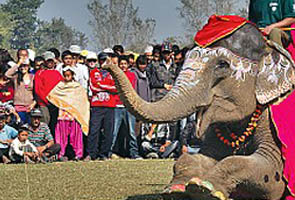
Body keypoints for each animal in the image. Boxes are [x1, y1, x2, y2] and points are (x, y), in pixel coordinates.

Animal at [102, 16, 295, 200]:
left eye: (222, 65)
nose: (105, 62)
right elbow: (194, 157)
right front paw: (176, 190)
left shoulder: (273, 120)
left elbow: (270, 173)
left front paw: (205, 189)